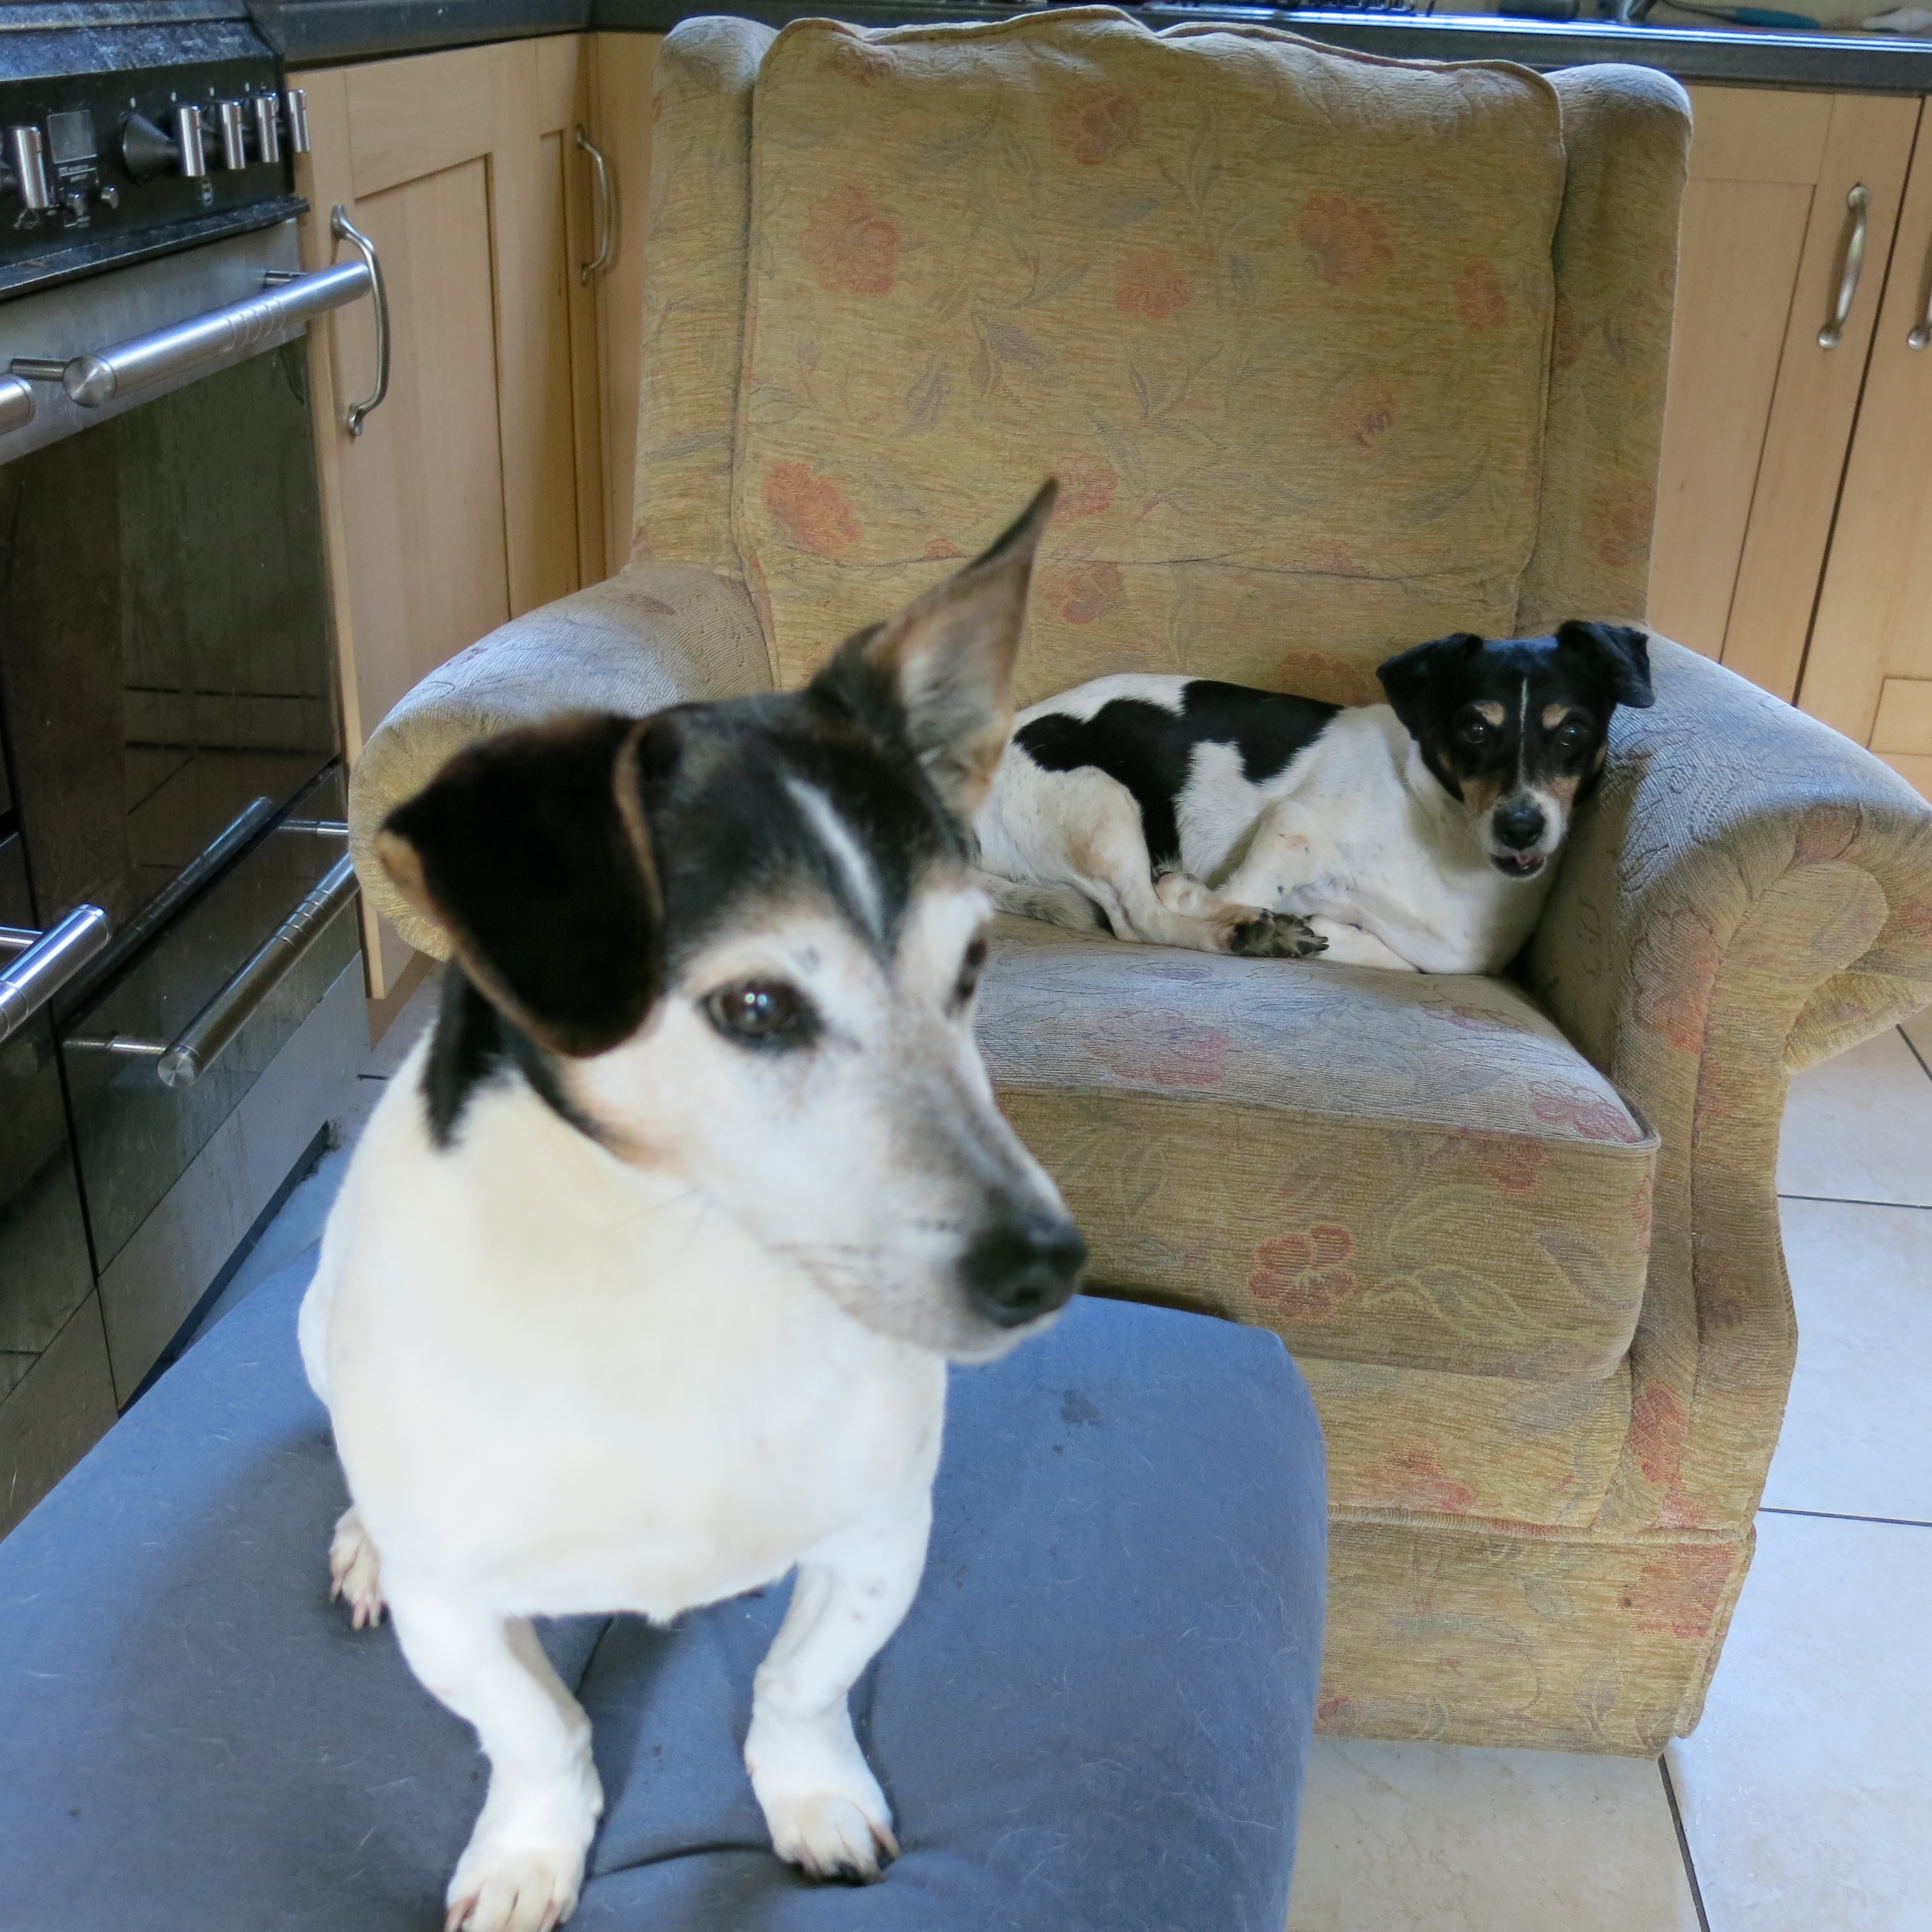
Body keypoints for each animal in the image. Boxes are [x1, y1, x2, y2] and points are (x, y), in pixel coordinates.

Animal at [299, 483, 1085, 1932]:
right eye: (756, 1006)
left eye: (973, 966)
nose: (1046, 1269)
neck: (678, 1269)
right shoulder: (460, 1614)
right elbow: (536, 1730)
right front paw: (529, 1851)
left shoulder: (881, 1536)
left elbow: (802, 1686)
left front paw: (816, 1800)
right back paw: (362, 1537)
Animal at [972, 622, 1654, 975]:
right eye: (1474, 729)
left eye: (1573, 732)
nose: (1520, 827)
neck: (1442, 831)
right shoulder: (1292, 824)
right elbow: (1234, 889)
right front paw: (1220, 906)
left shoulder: (1446, 954)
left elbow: (1386, 953)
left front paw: (1314, 927)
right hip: (1106, 805)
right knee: (1141, 918)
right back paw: (1240, 933)